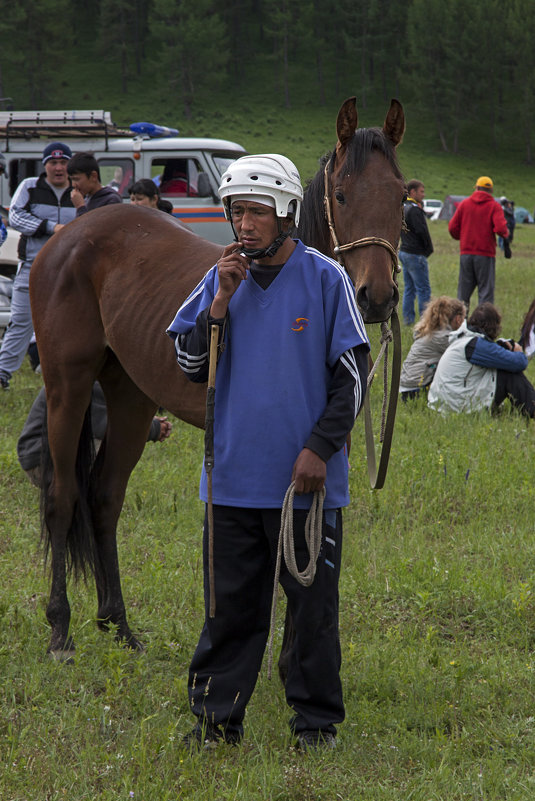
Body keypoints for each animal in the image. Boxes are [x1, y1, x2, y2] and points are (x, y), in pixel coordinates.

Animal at [30, 97, 406, 656]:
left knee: (105, 495)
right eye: (341, 194)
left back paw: (118, 624)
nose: (377, 297)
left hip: (130, 397)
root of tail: (66, 237)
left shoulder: (319, 447)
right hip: (67, 387)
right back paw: (60, 628)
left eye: (402, 196)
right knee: (63, 498)